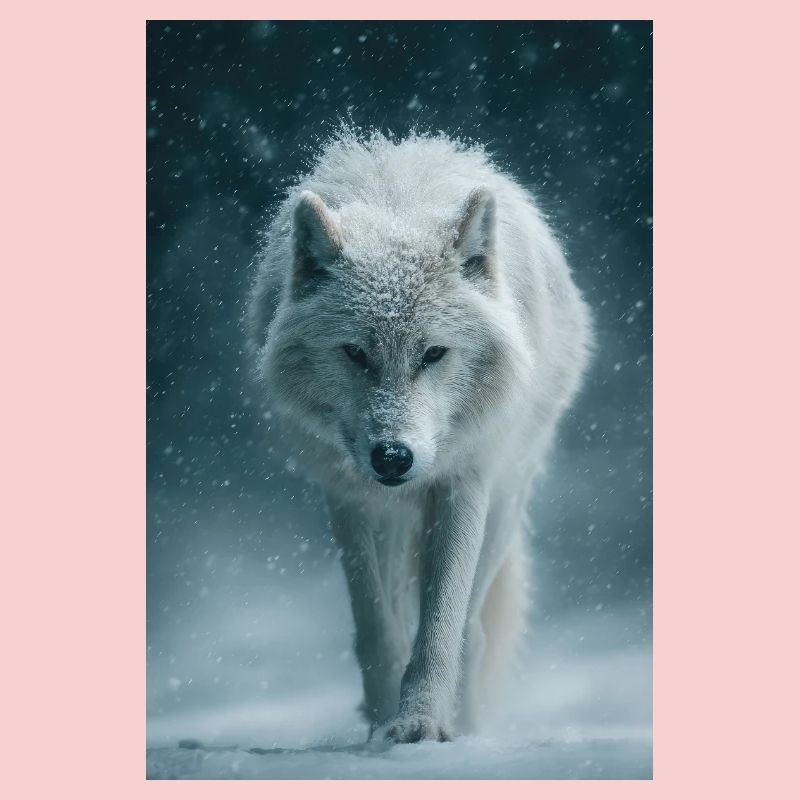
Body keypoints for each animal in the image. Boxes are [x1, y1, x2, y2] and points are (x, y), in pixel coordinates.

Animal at [247, 132, 592, 743]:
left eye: (433, 353)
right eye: (355, 353)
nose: (392, 457)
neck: (398, 206)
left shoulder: (463, 484)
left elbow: (440, 628)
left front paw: (420, 724)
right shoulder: (350, 498)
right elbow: (377, 629)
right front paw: (384, 721)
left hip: (505, 503)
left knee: (473, 630)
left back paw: (470, 727)